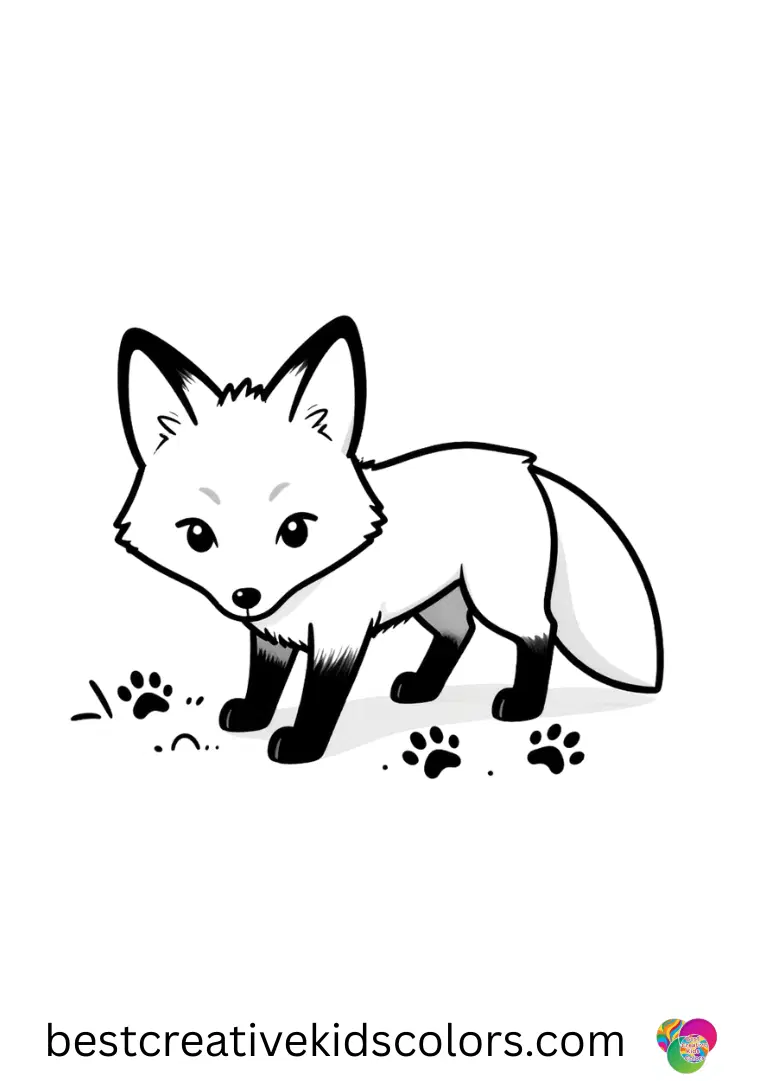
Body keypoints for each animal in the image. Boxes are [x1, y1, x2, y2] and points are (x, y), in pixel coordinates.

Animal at [115, 316, 663, 764]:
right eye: (198, 535)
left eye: (295, 530)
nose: (245, 595)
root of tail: (525, 465)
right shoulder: (272, 632)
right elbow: (265, 681)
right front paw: (253, 716)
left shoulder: (339, 636)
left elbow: (320, 697)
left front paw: (302, 745)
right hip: (437, 598)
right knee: (459, 631)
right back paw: (422, 688)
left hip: (498, 596)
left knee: (539, 632)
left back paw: (523, 706)